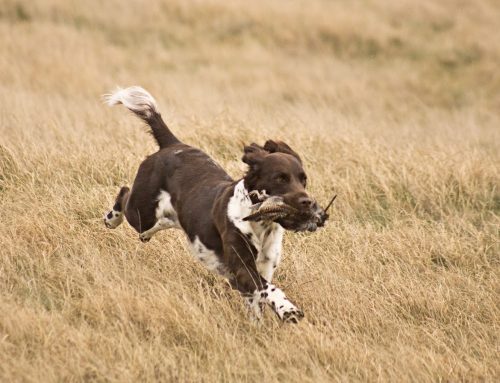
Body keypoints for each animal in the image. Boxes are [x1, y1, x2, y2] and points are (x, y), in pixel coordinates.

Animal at [102, 87, 328, 324]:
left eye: (303, 180)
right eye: (280, 179)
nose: (308, 202)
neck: (259, 222)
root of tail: (173, 144)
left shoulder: (262, 268)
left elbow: (258, 301)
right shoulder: (241, 268)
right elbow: (268, 289)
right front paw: (288, 309)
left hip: (168, 217)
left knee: (159, 222)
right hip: (142, 212)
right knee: (125, 193)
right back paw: (111, 219)